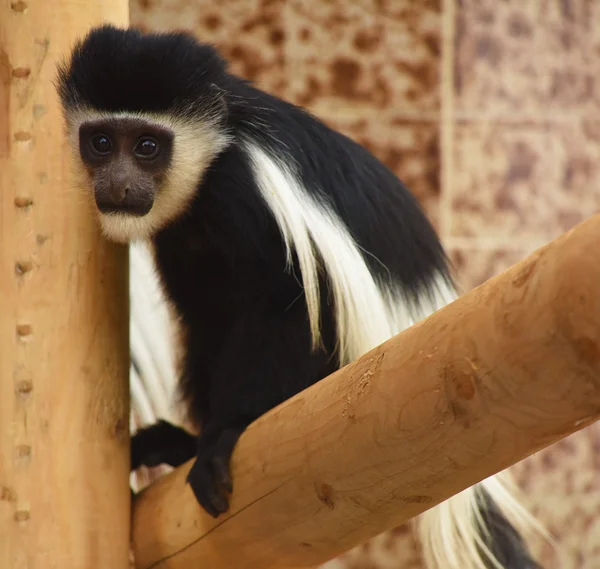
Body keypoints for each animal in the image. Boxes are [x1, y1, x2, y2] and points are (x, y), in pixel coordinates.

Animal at [57, 24, 544, 568]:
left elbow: (281, 306)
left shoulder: (244, 192)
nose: (117, 186)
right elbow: (208, 317)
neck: (217, 150)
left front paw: (226, 433)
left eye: (146, 146)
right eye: (101, 142)